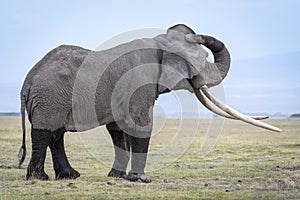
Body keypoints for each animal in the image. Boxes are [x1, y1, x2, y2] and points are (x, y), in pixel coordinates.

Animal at [18, 23, 282, 183]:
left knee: (56, 135)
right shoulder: (139, 80)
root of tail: (28, 81)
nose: (191, 32)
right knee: (45, 133)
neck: (159, 43)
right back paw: (39, 179)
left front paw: (118, 177)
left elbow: (118, 129)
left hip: (51, 99)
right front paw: (141, 180)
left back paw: (70, 176)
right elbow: (141, 123)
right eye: (203, 58)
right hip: (50, 98)